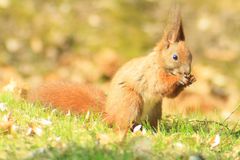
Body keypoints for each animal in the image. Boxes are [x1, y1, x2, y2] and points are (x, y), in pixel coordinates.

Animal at [29, 9, 196, 130]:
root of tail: (109, 113)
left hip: (155, 110)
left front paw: (191, 79)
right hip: (131, 100)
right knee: (121, 124)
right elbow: (161, 85)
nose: (187, 71)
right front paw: (180, 79)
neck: (159, 62)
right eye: (175, 57)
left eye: (191, 55)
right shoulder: (151, 74)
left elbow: (171, 95)